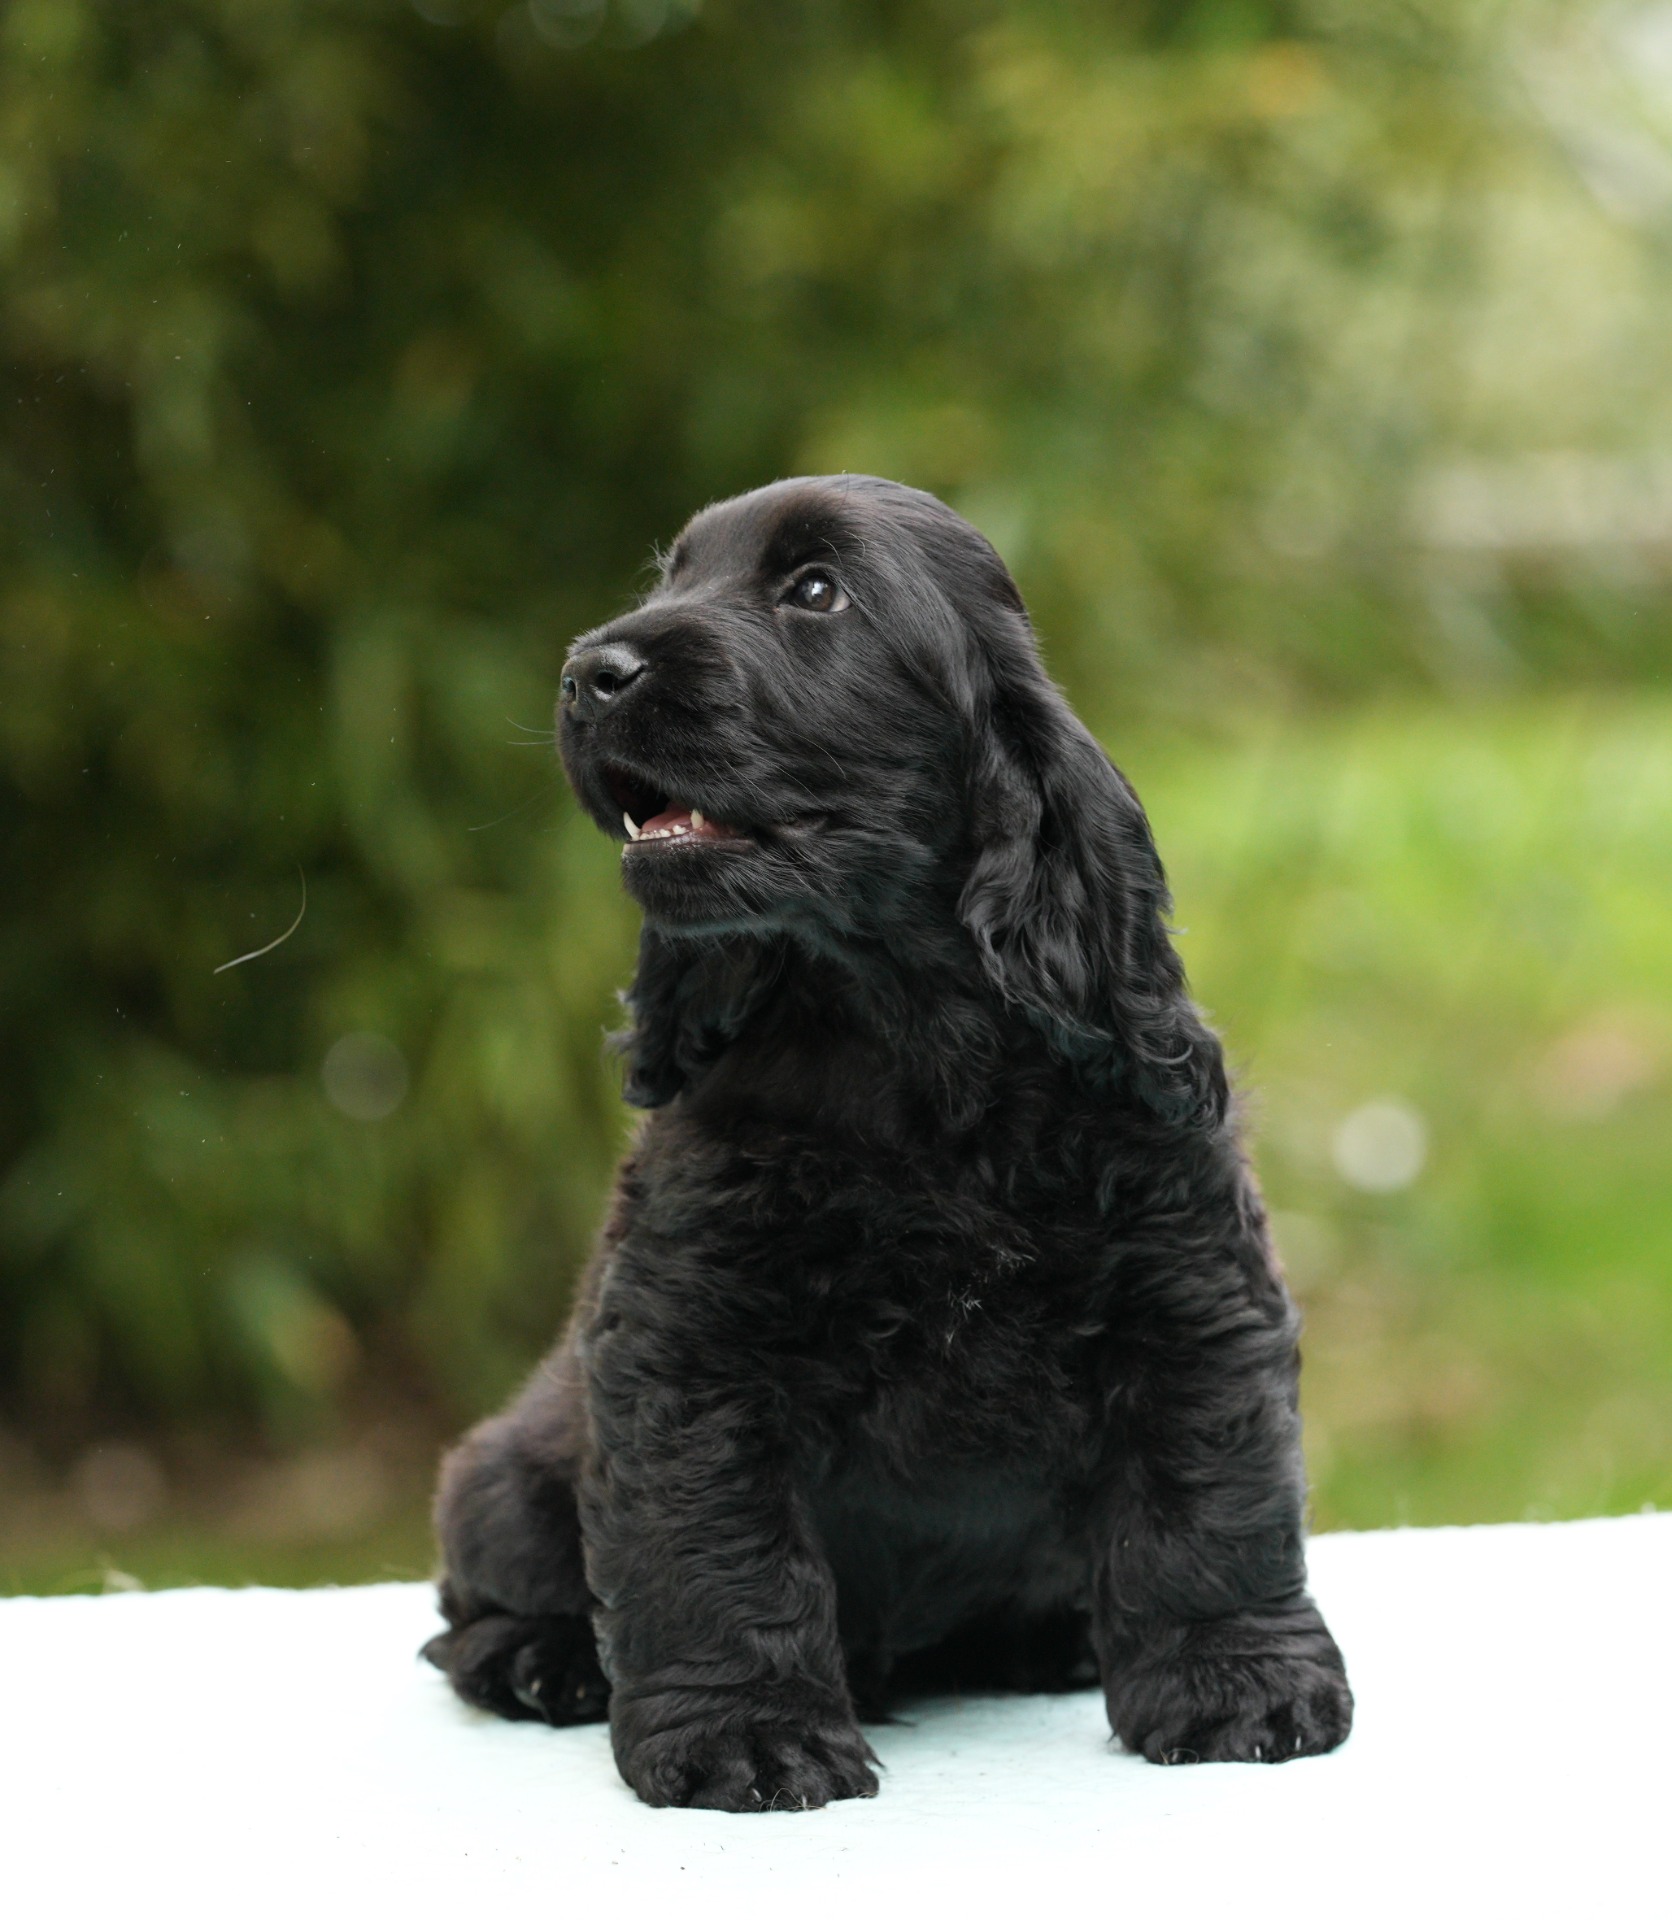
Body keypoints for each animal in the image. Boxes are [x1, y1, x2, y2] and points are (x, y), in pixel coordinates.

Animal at [423, 475, 1352, 1810]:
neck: (904, 1036)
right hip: (501, 1475)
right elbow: (712, 1547)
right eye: (670, 579)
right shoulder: (690, 1349)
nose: (586, 673)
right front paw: (743, 1732)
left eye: (815, 591)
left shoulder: (1191, 1297)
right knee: (468, 1613)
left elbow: (1209, 1504)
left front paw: (1239, 1680)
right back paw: (546, 1663)